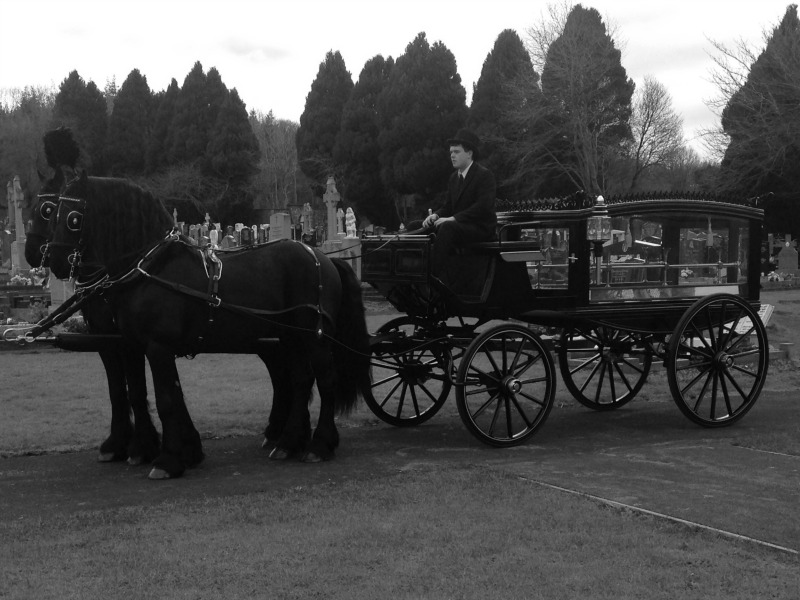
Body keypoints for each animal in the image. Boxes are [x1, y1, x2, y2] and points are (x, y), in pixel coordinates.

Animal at [25, 129, 160, 462]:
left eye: (51, 210)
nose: (32, 253)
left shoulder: (126, 338)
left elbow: (135, 387)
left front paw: (142, 445)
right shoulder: (102, 335)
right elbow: (117, 387)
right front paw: (117, 441)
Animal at [48, 171, 374, 480]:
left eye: (73, 217)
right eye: (50, 212)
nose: (54, 261)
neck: (151, 266)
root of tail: (321, 256)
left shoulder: (157, 346)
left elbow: (166, 400)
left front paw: (168, 461)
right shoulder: (133, 344)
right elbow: (152, 394)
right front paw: (180, 451)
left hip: (315, 338)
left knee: (326, 380)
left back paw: (319, 444)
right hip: (291, 338)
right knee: (301, 380)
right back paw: (288, 442)